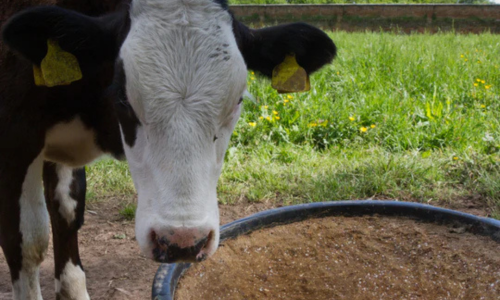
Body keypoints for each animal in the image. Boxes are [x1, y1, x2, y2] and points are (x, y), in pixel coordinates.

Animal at [0, 0, 336, 298]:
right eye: (122, 97)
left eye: (238, 100)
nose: (183, 240)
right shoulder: (16, 139)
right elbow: (27, 242)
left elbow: (68, 214)